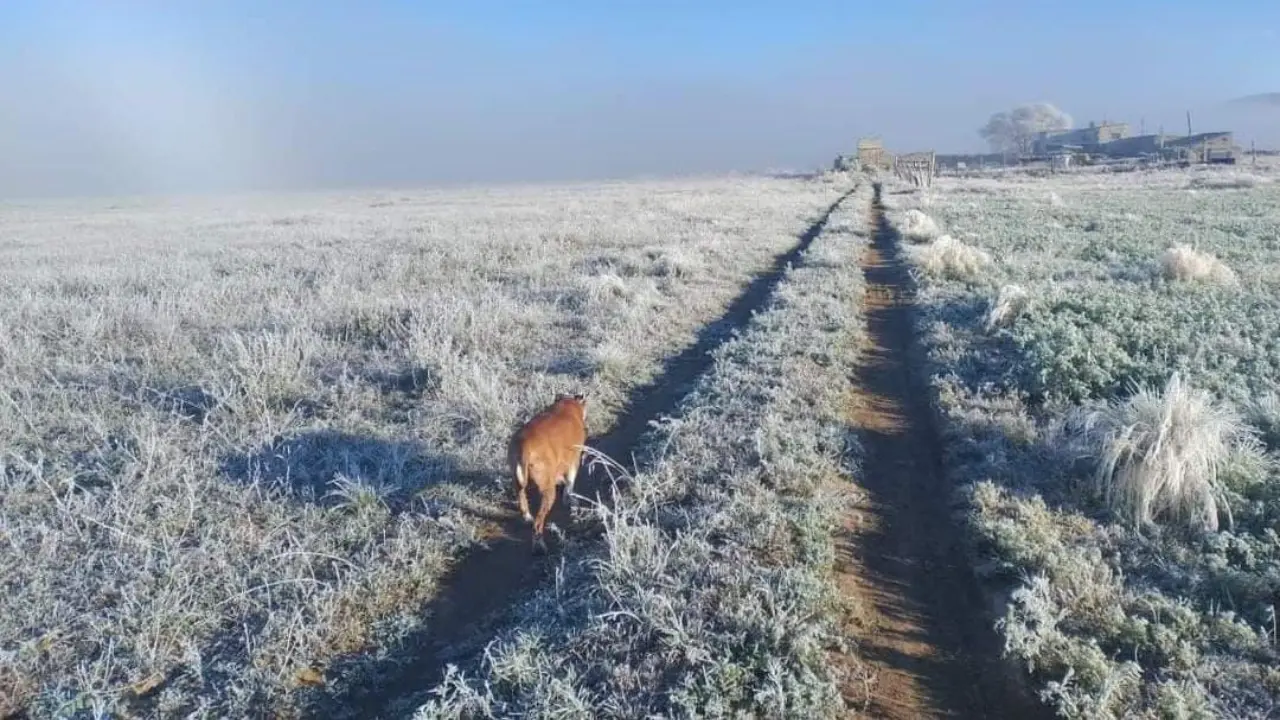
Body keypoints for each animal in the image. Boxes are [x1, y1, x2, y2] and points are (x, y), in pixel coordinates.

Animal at [509, 392, 588, 543]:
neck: (567, 406)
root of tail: (524, 446)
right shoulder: (573, 461)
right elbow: (570, 483)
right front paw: (570, 498)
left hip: (518, 481)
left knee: (521, 497)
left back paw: (527, 517)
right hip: (548, 491)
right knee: (538, 522)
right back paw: (540, 543)